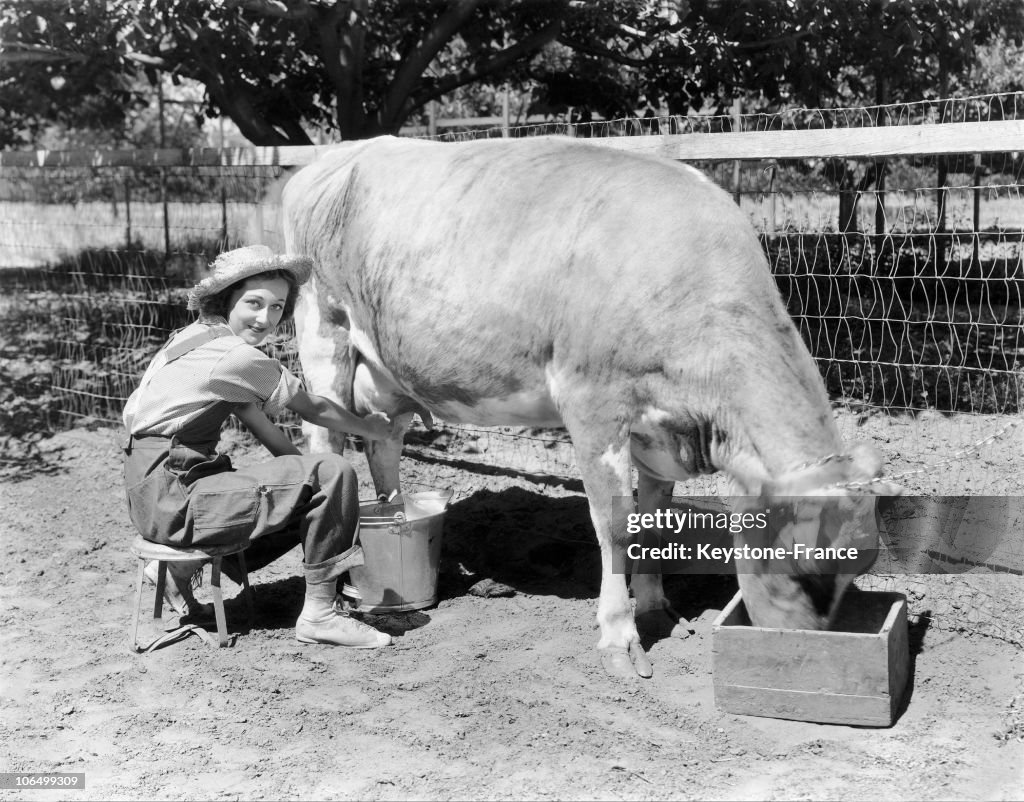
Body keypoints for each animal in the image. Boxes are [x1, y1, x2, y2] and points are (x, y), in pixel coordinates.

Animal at [276, 136, 901, 676]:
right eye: (802, 563)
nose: (802, 650)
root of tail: (336, 157)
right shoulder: (592, 406)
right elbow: (616, 526)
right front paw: (620, 635)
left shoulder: (657, 429)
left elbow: (654, 524)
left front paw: (656, 606)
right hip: (322, 331)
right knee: (329, 443)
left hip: (388, 368)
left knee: (383, 444)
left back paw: (397, 520)